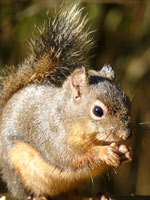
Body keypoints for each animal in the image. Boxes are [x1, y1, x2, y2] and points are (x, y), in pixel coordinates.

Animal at [0, 2, 131, 200]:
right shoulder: (51, 135)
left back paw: (95, 196)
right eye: (98, 111)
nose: (127, 135)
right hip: (15, 167)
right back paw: (36, 197)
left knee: (71, 194)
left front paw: (124, 151)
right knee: (23, 192)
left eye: (127, 100)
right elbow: (70, 157)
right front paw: (105, 152)